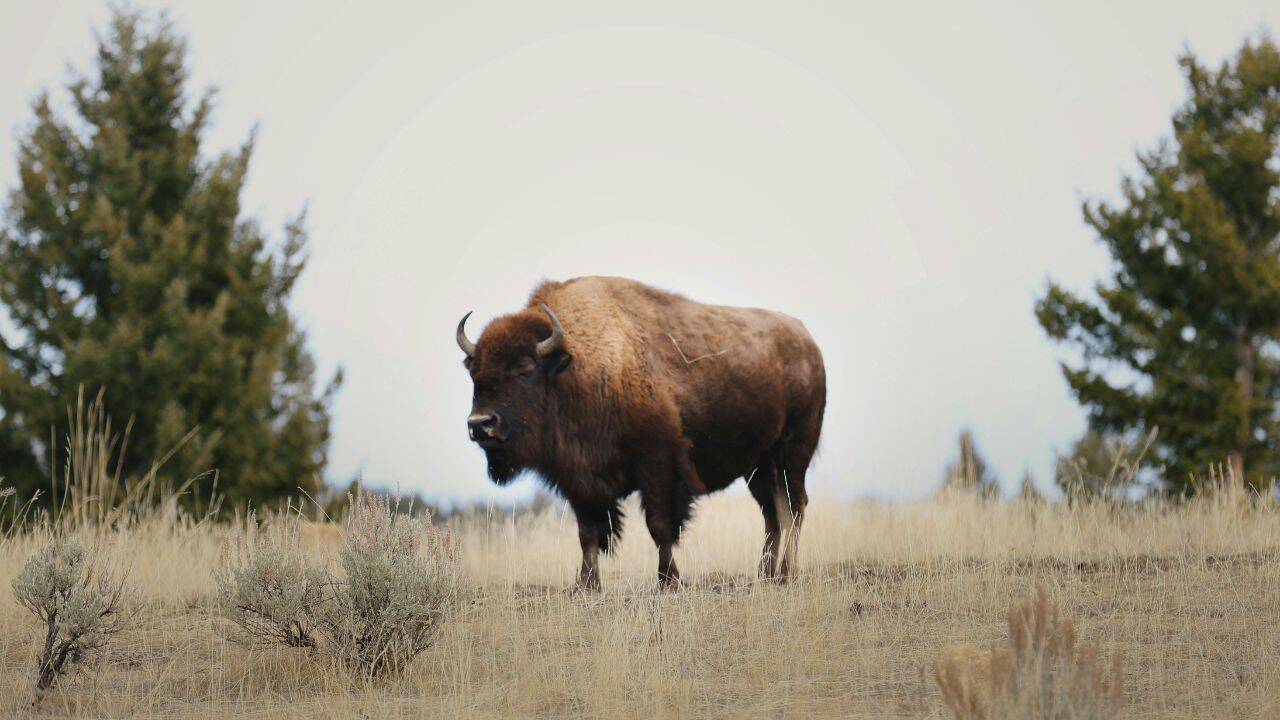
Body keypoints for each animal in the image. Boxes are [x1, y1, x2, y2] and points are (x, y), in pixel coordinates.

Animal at [456, 276, 826, 590]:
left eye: (525, 369)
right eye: (474, 373)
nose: (480, 424)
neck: (577, 367)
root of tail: (808, 343)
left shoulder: (657, 464)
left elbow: (659, 526)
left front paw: (668, 581)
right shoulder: (578, 479)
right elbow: (588, 533)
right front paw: (586, 586)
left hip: (793, 454)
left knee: (794, 506)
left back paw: (787, 574)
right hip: (758, 466)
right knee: (772, 513)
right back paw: (765, 574)